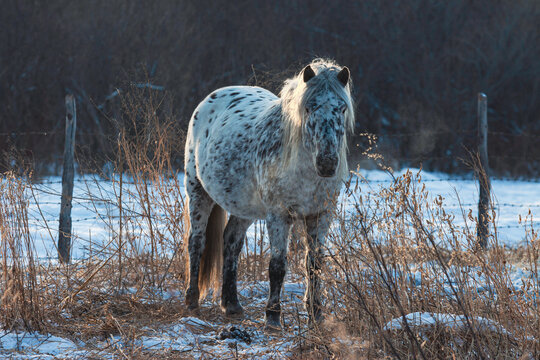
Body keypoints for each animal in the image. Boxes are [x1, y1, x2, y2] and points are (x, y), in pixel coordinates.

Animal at [184, 58, 356, 330]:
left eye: (341, 109)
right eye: (309, 108)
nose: (327, 163)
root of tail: (211, 98)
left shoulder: (321, 215)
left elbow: (314, 264)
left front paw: (316, 313)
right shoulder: (279, 216)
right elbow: (277, 266)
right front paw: (273, 317)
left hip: (243, 207)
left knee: (231, 242)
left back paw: (231, 304)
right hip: (198, 192)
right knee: (196, 243)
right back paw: (192, 301)